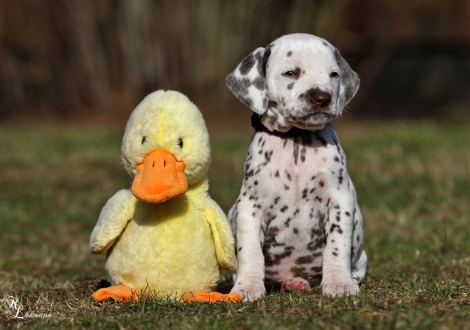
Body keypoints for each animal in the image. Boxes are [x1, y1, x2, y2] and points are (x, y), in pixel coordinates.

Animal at [227, 34, 368, 302]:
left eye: (334, 74)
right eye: (291, 73)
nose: (322, 97)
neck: (296, 141)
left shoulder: (339, 200)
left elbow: (337, 245)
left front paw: (339, 283)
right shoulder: (250, 206)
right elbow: (249, 251)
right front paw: (247, 287)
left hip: (362, 257)